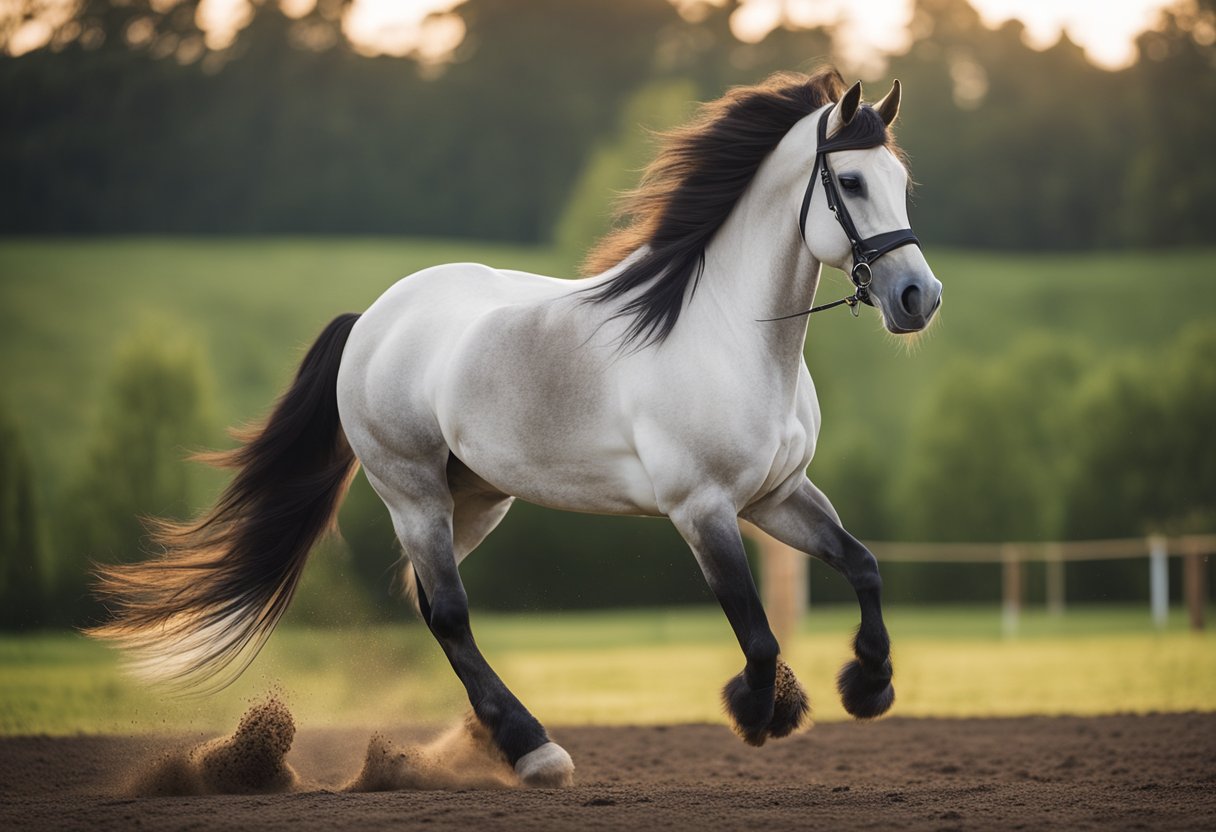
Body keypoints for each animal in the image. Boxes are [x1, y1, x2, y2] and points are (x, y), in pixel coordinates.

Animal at [89, 68, 943, 788]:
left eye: (903, 183)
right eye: (852, 181)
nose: (918, 298)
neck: (731, 333)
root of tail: (373, 319)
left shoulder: (777, 495)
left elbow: (864, 565)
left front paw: (867, 687)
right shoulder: (702, 509)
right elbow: (759, 635)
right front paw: (759, 712)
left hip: (476, 498)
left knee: (429, 605)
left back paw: (494, 743)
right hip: (412, 494)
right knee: (450, 615)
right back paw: (534, 751)